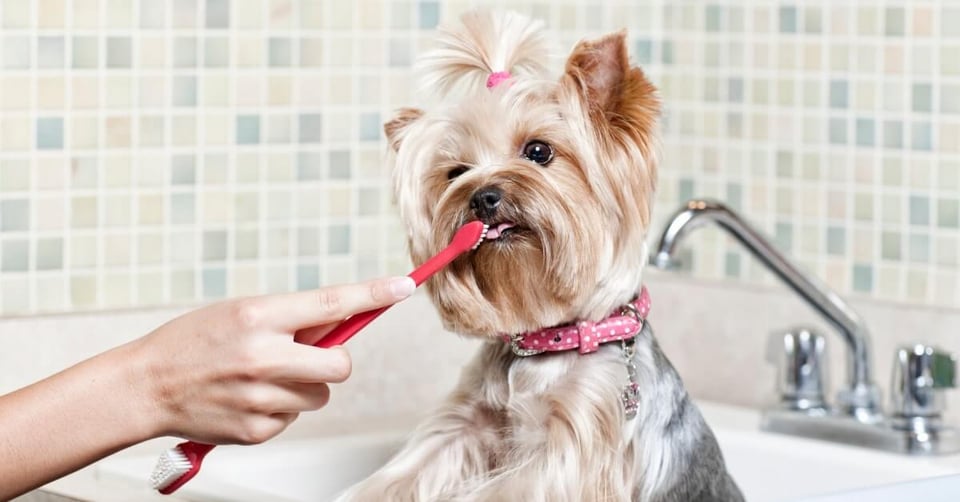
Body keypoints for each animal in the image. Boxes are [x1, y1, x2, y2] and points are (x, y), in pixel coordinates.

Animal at [342, 11, 748, 502]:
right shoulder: (467, 423)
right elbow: (406, 473)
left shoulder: (576, 442)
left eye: (539, 151)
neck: (548, 342)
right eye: (456, 172)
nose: (482, 197)